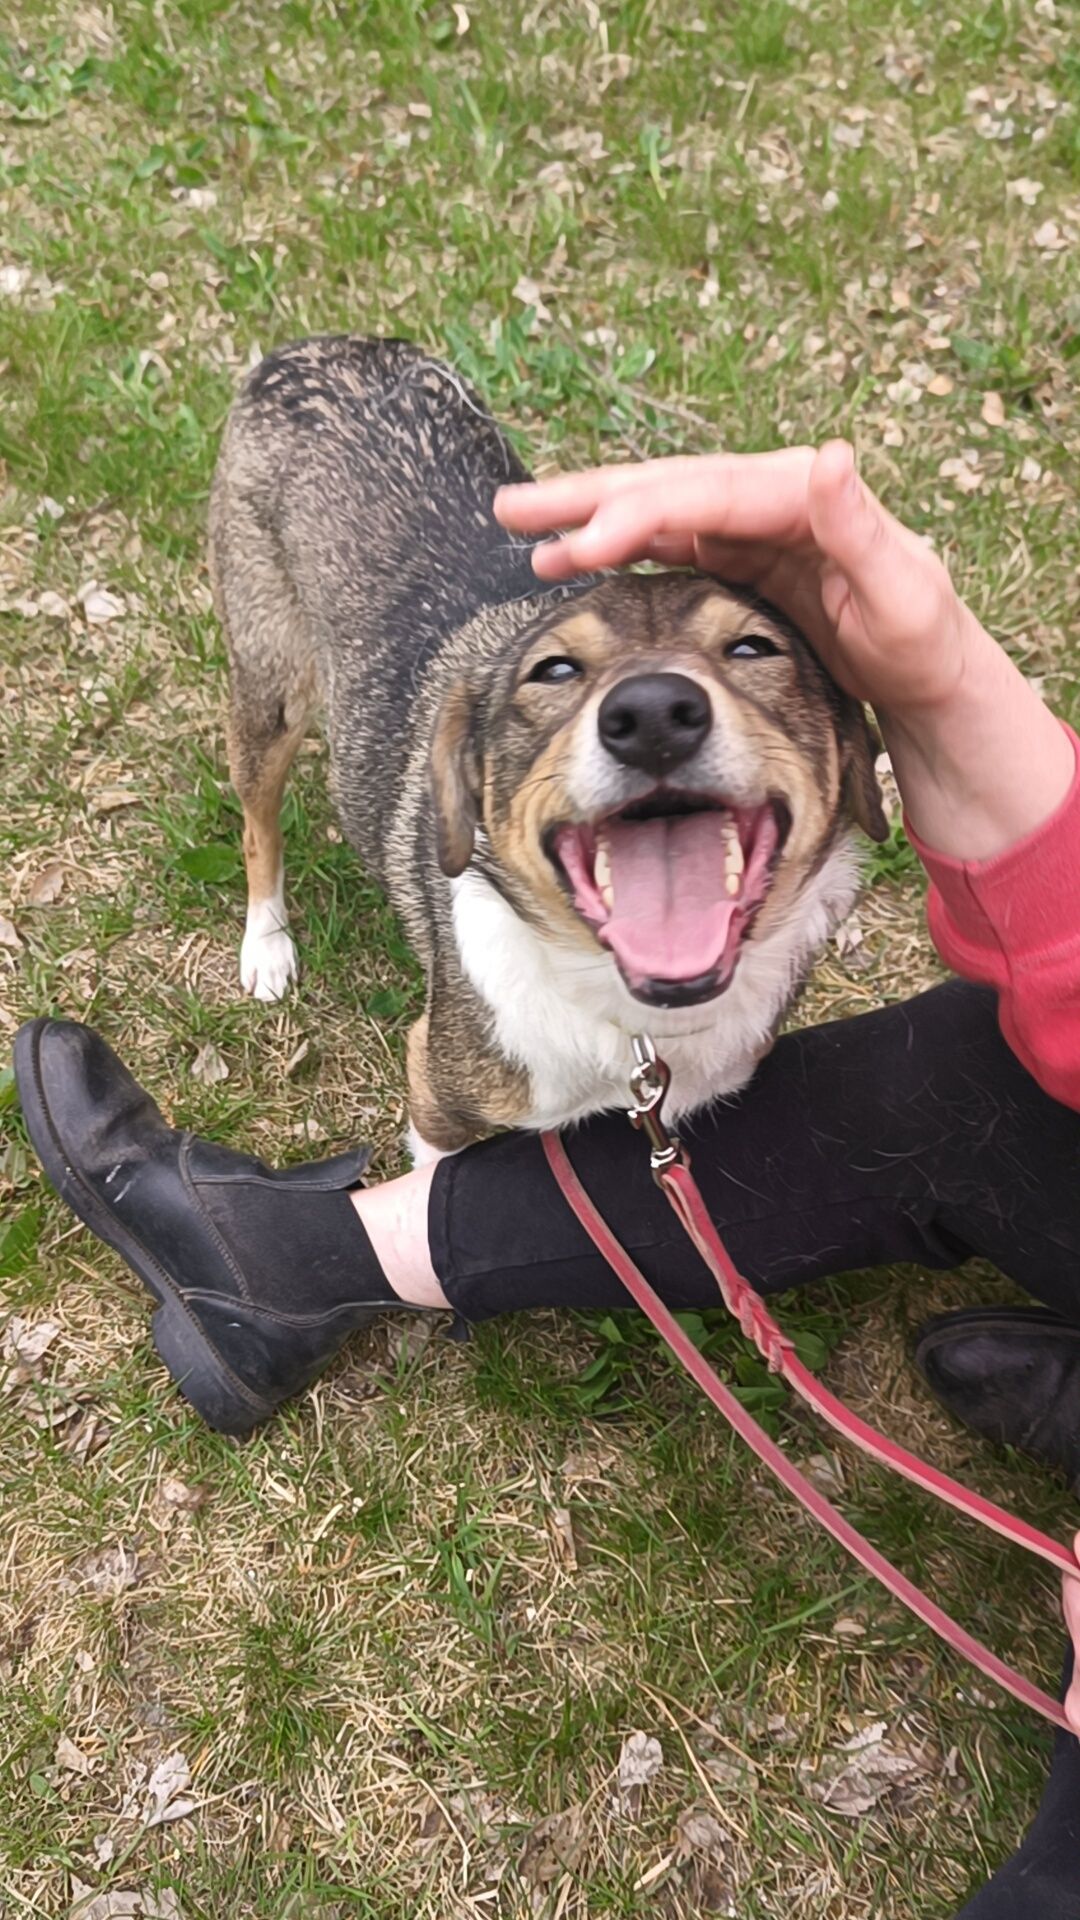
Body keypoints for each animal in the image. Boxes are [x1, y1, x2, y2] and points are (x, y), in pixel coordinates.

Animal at [208, 334, 883, 1152]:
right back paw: (267, 944)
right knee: (257, 822)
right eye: (553, 670)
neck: (634, 1019)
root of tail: (311, 347)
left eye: (755, 648)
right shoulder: (439, 1096)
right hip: (271, 685)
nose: (654, 713)